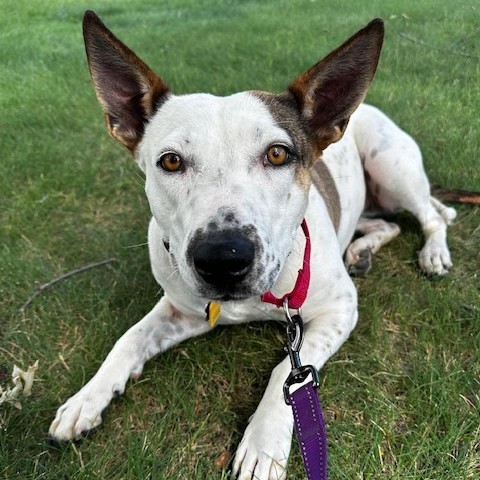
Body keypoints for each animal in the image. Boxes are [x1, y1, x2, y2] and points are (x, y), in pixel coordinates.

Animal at [47, 12, 458, 480]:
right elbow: (129, 339)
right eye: (170, 161)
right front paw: (86, 399)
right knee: (385, 223)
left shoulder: (339, 310)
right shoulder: (179, 309)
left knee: (430, 215)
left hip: (390, 166)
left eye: (278, 154)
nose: (223, 258)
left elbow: (286, 370)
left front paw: (263, 444)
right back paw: (362, 249)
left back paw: (433, 253)